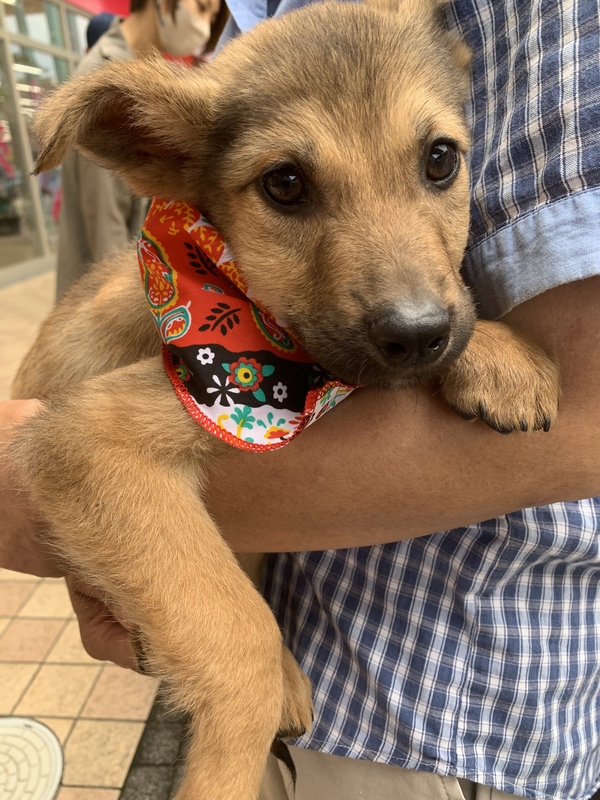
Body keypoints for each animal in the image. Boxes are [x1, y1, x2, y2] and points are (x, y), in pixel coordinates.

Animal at [11, 0, 559, 797]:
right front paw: (226, 767)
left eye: (440, 159)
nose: (418, 333)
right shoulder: (85, 440)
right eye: (286, 185)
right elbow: (239, 636)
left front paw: (498, 355)